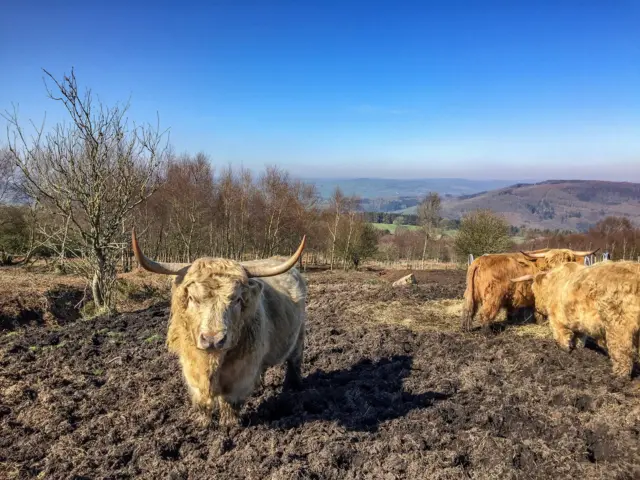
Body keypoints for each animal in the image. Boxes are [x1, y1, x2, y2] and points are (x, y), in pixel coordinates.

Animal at [131, 228, 306, 424]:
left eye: (237, 299)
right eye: (192, 298)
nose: (213, 339)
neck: (212, 360)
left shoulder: (241, 374)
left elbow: (229, 402)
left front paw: (229, 424)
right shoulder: (191, 367)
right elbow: (202, 401)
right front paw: (202, 422)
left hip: (299, 334)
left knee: (295, 360)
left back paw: (294, 387)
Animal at [462, 248, 596, 330]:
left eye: (567, 262)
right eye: (551, 263)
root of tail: (479, 261)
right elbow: (540, 313)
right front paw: (543, 323)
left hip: (470, 292)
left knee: (468, 310)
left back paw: (466, 329)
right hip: (493, 296)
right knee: (485, 313)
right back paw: (487, 332)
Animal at [510, 260, 640, 376]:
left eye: (534, 291)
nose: (537, 308)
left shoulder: (556, 319)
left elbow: (562, 336)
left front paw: (565, 350)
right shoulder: (579, 322)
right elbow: (579, 338)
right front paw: (579, 350)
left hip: (618, 325)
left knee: (621, 350)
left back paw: (619, 375)